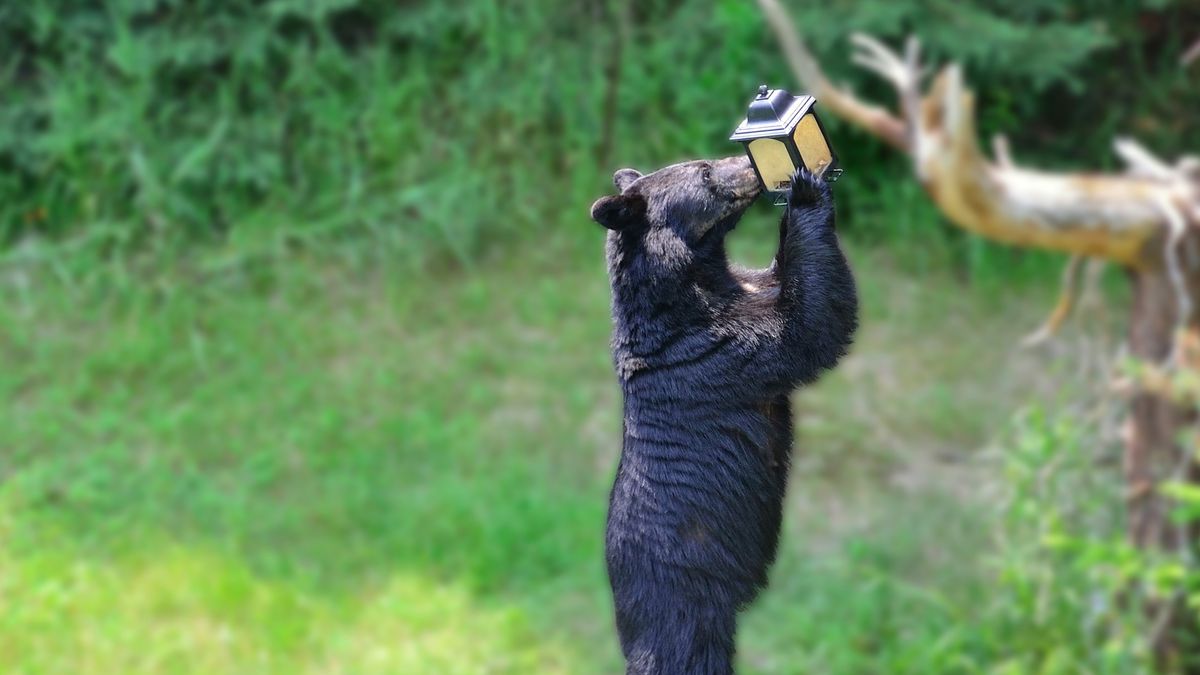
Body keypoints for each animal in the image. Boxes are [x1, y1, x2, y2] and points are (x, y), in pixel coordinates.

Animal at [588, 154, 854, 667]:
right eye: (705, 172)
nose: (747, 163)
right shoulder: (718, 347)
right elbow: (806, 329)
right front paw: (805, 190)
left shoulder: (745, 288)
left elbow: (783, 283)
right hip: (683, 601)